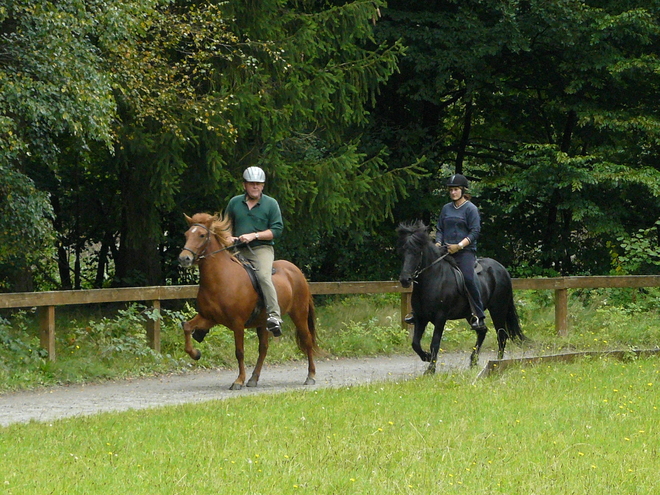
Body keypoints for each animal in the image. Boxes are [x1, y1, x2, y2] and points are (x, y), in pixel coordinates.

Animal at [178, 213, 318, 392]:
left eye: (202, 235)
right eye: (186, 235)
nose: (184, 258)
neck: (220, 278)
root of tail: (296, 271)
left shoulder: (237, 323)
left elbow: (239, 352)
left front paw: (238, 381)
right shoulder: (208, 317)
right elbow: (187, 327)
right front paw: (196, 354)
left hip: (299, 314)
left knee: (307, 340)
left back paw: (310, 376)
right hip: (263, 323)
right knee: (263, 348)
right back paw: (254, 378)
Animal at [398, 221, 524, 372]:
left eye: (417, 252)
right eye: (403, 251)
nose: (405, 280)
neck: (433, 279)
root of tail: (502, 268)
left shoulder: (440, 317)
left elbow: (435, 343)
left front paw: (430, 369)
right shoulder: (420, 317)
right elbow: (415, 343)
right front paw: (427, 357)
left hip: (498, 309)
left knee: (501, 336)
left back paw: (496, 364)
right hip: (471, 315)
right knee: (482, 331)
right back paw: (473, 361)